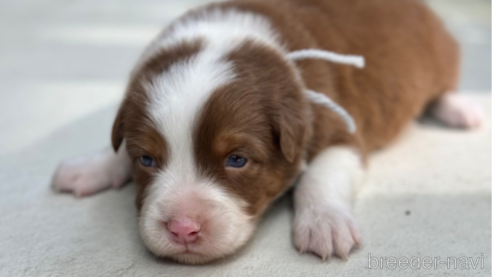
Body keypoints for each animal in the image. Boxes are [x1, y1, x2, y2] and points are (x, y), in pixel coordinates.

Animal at [51, 0, 484, 264]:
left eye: (237, 160)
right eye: (146, 159)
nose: (183, 229)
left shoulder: (340, 129)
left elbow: (320, 175)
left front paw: (325, 224)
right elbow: (115, 145)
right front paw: (90, 166)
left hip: (440, 57)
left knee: (442, 89)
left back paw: (461, 110)